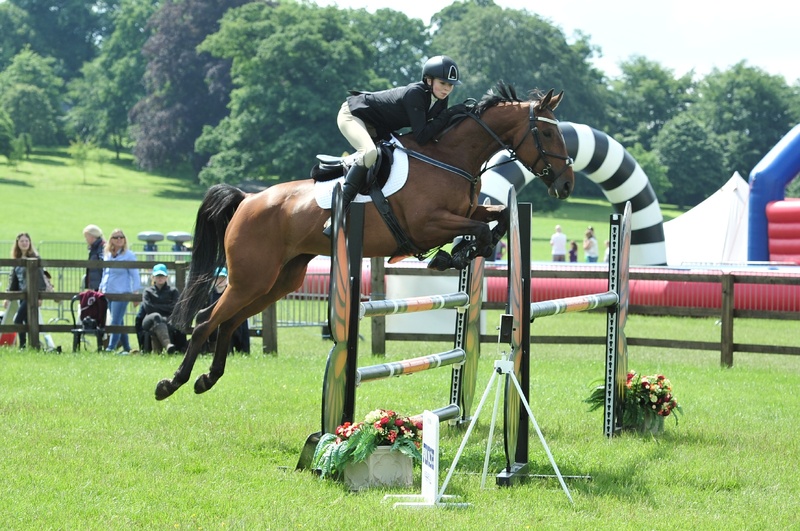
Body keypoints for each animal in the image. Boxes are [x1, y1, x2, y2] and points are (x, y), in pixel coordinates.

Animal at [153, 82, 576, 400]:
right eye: (548, 132)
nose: (566, 185)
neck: (450, 157)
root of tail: (247, 199)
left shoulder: (467, 211)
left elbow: (498, 219)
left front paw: (458, 253)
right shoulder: (428, 223)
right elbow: (484, 230)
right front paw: (453, 255)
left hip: (278, 281)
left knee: (228, 321)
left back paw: (207, 379)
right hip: (251, 277)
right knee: (207, 320)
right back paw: (172, 383)